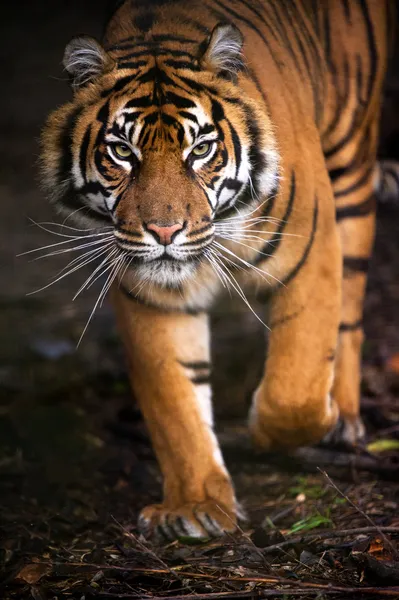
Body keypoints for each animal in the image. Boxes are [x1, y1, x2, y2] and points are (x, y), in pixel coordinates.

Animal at [39, 0, 396, 540]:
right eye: (122, 152)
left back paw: (346, 418)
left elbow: (295, 388)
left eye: (200, 149)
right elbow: (175, 404)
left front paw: (284, 428)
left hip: (350, 166)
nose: (165, 231)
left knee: (351, 317)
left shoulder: (313, 251)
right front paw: (196, 506)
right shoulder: (151, 295)